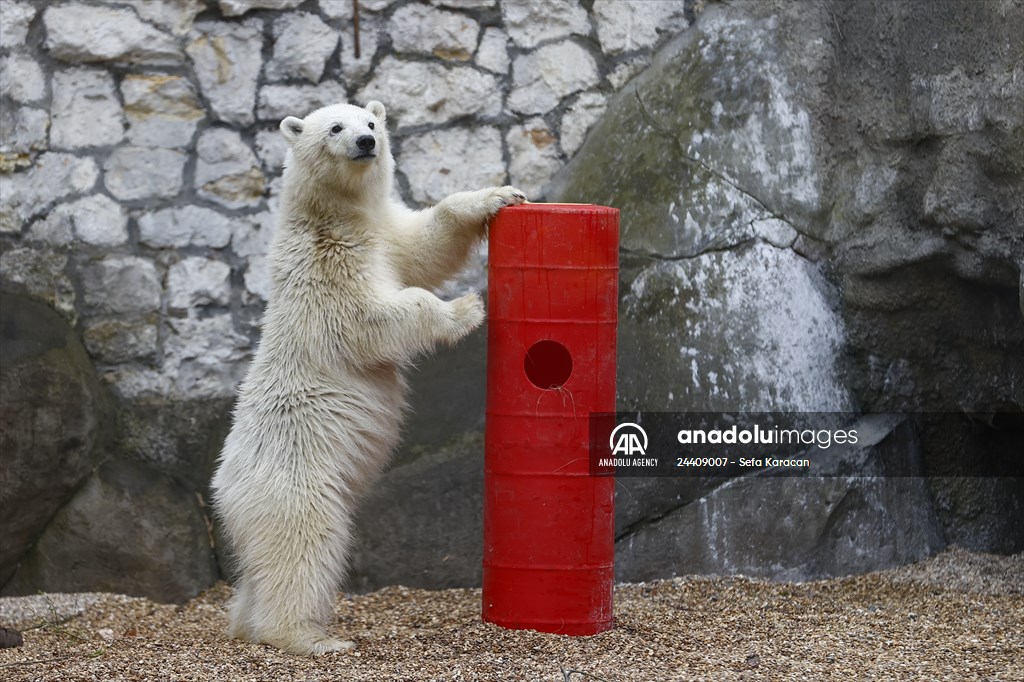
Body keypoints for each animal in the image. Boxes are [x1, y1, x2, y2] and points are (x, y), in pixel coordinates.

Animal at [210, 100, 526, 655]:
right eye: (335, 127)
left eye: (372, 121)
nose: (365, 142)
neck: (333, 214)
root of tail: (221, 489)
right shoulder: (324, 265)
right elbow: (368, 320)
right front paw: (465, 309)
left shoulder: (383, 236)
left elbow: (425, 248)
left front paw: (496, 197)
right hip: (296, 482)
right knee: (304, 546)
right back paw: (309, 638)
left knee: (262, 566)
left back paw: (247, 623)